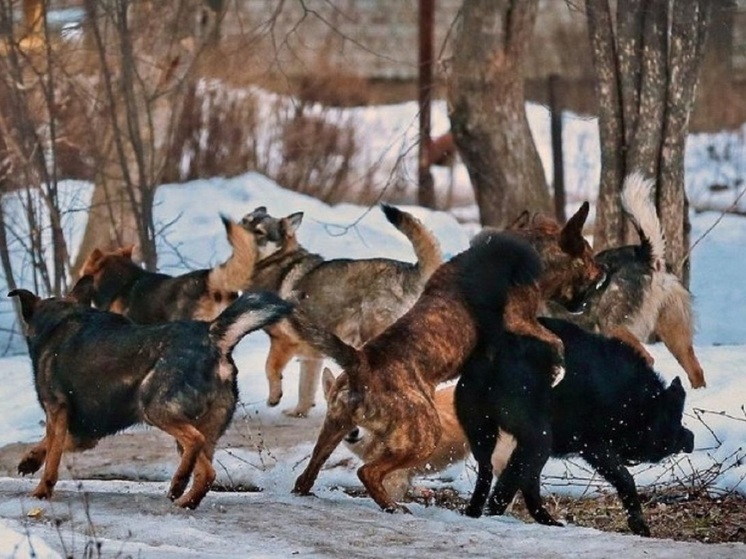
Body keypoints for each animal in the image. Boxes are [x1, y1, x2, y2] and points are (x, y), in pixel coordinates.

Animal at [12, 280, 290, 512]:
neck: (60, 318)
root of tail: (212, 335)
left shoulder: (57, 411)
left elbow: (53, 456)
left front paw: (41, 491)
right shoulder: (86, 434)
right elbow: (50, 444)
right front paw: (29, 461)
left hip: (154, 408)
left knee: (195, 441)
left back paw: (178, 484)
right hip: (201, 424)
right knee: (207, 472)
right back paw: (186, 501)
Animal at [288, 230, 600, 516]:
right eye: (588, 258)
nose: (602, 273)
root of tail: (361, 361)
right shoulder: (520, 320)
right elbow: (556, 341)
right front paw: (558, 369)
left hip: (334, 427)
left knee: (308, 473)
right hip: (424, 435)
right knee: (368, 472)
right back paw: (393, 506)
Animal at [456, 318, 696, 536]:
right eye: (674, 417)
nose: (691, 439)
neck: (634, 401)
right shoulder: (592, 444)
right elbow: (625, 478)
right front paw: (640, 526)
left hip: (484, 433)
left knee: (493, 473)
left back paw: (481, 514)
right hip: (538, 439)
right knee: (511, 480)